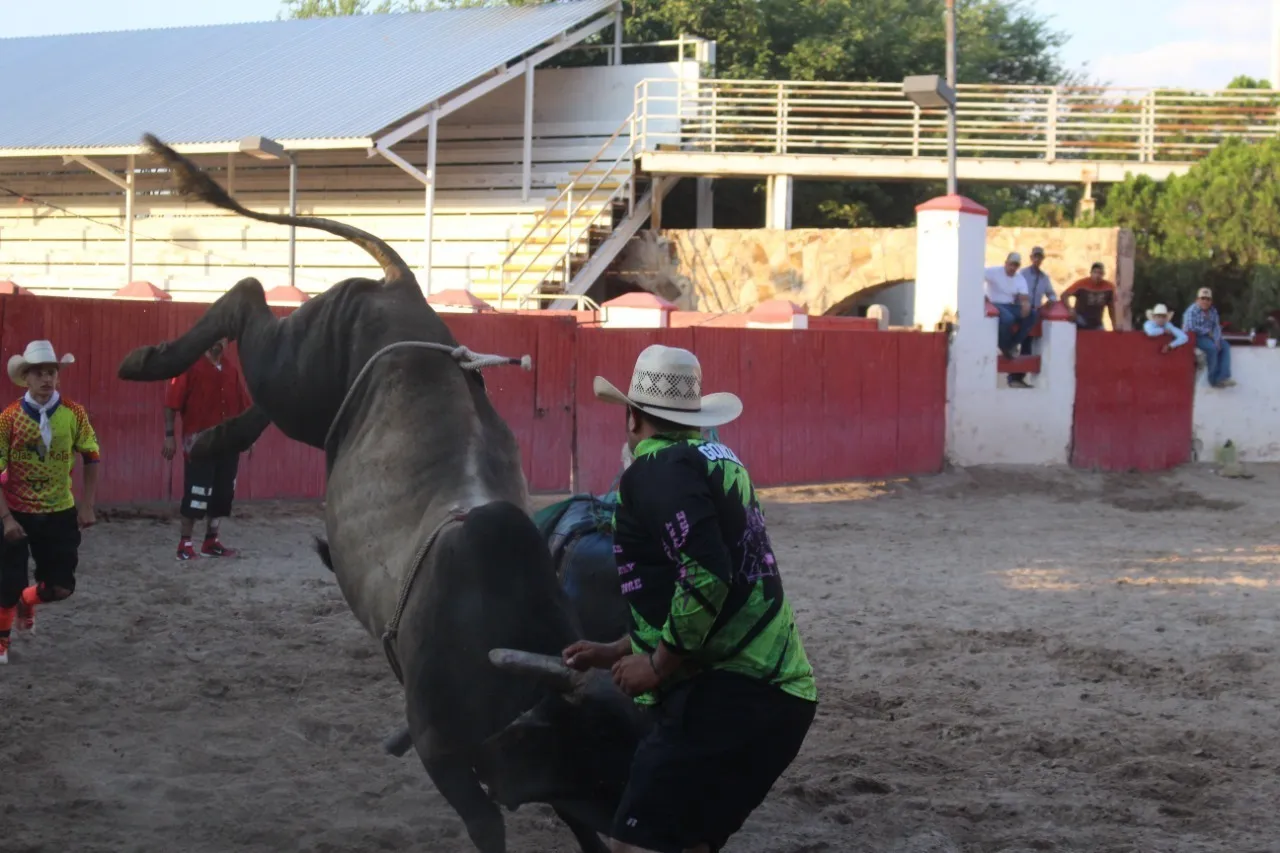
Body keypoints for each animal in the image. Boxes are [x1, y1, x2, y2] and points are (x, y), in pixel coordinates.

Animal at [115, 136, 640, 850]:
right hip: (299, 367)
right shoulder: (437, 746)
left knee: (263, 393)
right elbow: (486, 820)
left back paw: (209, 436)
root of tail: (403, 287)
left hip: (309, 392)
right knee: (248, 298)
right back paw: (148, 360)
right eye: (599, 769)